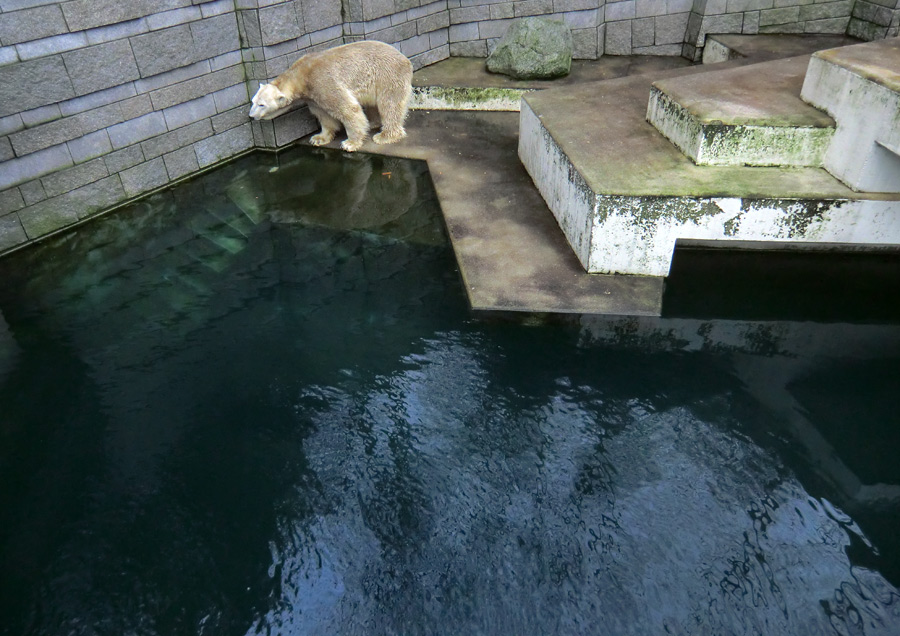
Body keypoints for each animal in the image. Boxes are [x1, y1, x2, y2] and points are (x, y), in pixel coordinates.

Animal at [248, 40, 414, 153]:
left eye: (262, 104)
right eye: (253, 101)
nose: (250, 116)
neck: (300, 76)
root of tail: (406, 59)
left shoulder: (322, 81)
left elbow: (348, 109)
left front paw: (349, 143)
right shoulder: (312, 97)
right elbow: (323, 114)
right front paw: (318, 138)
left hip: (388, 76)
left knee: (390, 105)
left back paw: (385, 135)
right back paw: (373, 123)